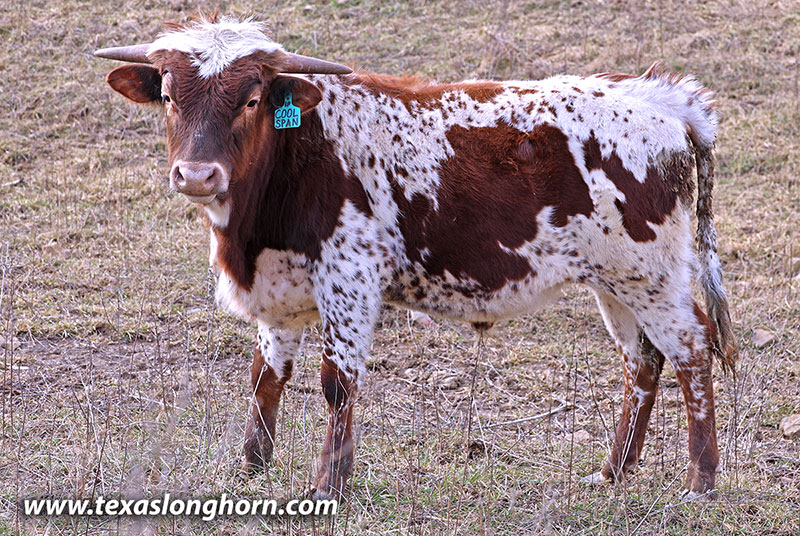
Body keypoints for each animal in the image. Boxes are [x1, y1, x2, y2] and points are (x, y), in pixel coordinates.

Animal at [95, 15, 736, 501]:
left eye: (252, 99)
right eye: (169, 96)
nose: (197, 175)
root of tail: (659, 96)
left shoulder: (349, 280)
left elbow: (337, 383)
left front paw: (328, 485)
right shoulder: (280, 291)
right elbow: (265, 377)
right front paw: (252, 468)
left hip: (651, 275)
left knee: (690, 350)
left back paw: (700, 481)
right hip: (615, 282)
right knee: (643, 360)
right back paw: (613, 471)